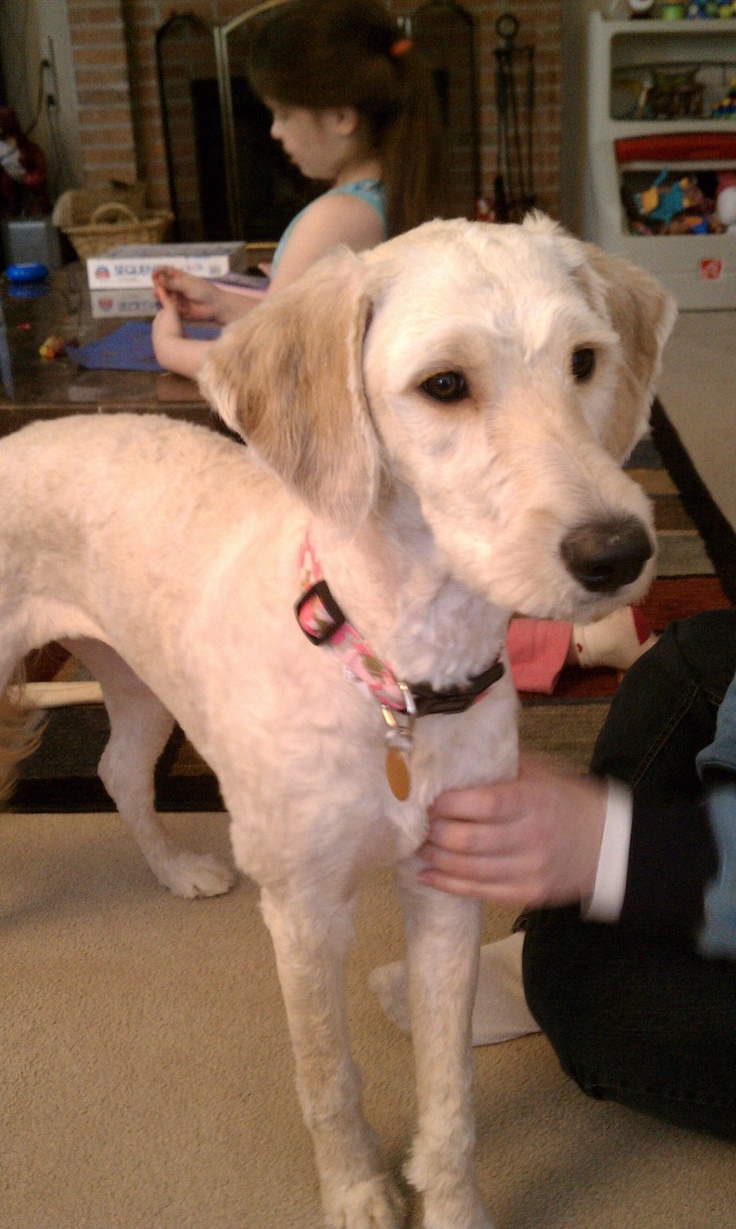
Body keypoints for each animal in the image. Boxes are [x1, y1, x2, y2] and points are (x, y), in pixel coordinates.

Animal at [0, 216, 678, 1224]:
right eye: (445, 384)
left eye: (585, 362)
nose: (619, 552)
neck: (396, 673)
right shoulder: (306, 908)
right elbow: (329, 1076)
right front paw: (357, 1190)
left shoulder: (449, 890)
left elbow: (450, 1090)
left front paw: (452, 1204)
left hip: (139, 681)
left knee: (119, 769)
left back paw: (175, 870)